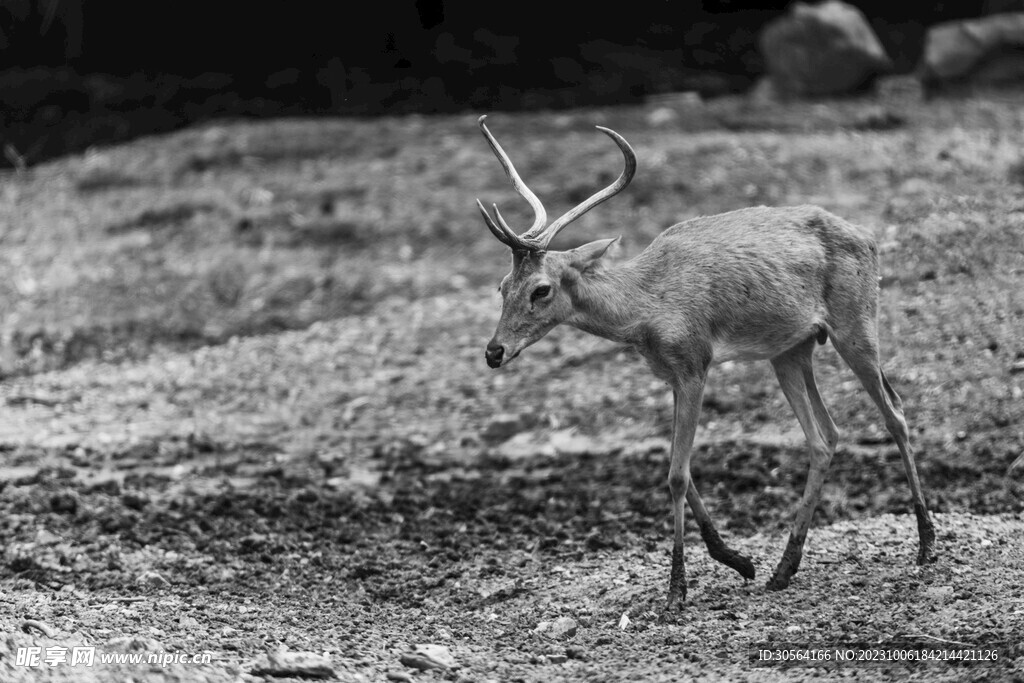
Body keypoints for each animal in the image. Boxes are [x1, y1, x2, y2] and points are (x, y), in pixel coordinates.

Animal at [474, 115, 937, 611]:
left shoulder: (696, 362)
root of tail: (869, 237)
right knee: (824, 437)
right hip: (792, 349)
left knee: (894, 412)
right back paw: (783, 569)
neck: (648, 306)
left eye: (541, 289)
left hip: (856, 326)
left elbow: (677, 474)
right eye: (502, 285)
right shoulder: (671, 375)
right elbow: (681, 467)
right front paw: (739, 561)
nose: (493, 352)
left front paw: (677, 590)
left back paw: (926, 544)